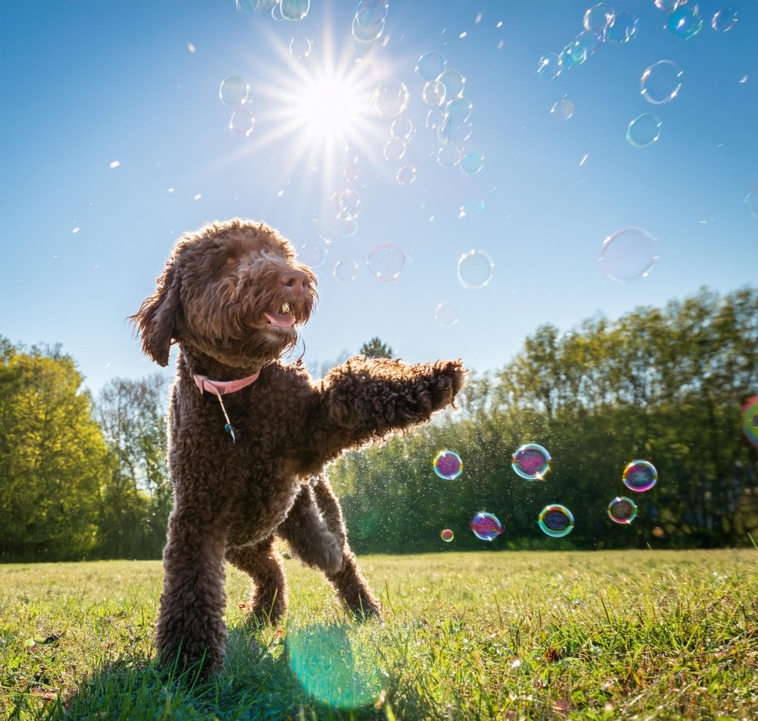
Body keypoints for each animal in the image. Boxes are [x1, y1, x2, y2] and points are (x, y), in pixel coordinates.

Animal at [130, 218, 464, 668]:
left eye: (279, 253)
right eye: (227, 260)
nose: (295, 279)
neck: (237, 397)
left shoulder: (312, 435)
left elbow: (351, 389)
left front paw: (430, 380)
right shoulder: (198, 515)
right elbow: (191, 586)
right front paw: (190, 663)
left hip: (303, 515)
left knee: (338, 560)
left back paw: (364, 612)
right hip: (246, 542)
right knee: (274, 569)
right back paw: (264, 616)